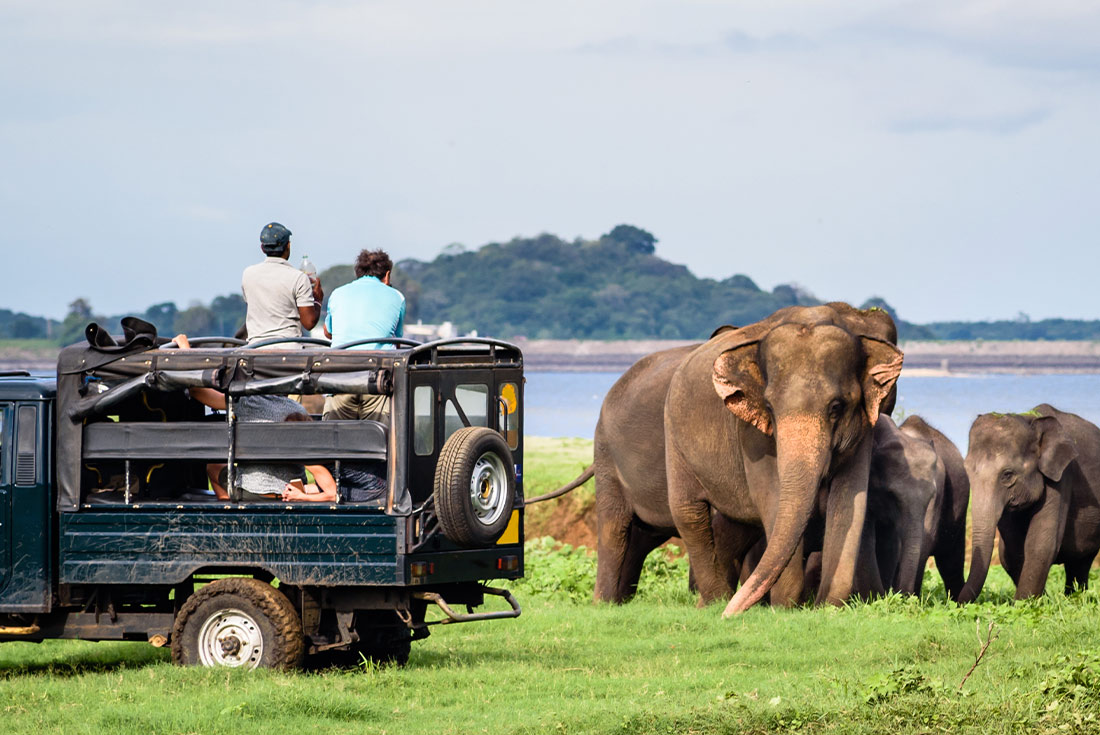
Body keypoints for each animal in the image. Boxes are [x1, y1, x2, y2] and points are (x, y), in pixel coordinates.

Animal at [594, 301, 902, 611]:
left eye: (836, 407)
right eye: (769, 406)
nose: (731, 614)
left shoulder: (864, 427)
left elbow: (851, 502)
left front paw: (826, 607)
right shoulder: (751, 433)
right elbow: (773, 499)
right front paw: (784, 608)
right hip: (655, 442)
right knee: (675, 514)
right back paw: (707, 603)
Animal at [954, 402, 1100, 602]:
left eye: (1007, 475)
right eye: (967, 471)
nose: (954, 602)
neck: (1030, 420)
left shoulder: (1061, 476)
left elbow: (1040, 544)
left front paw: (1024, 603)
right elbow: (1010, 552)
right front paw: (1039, 600)